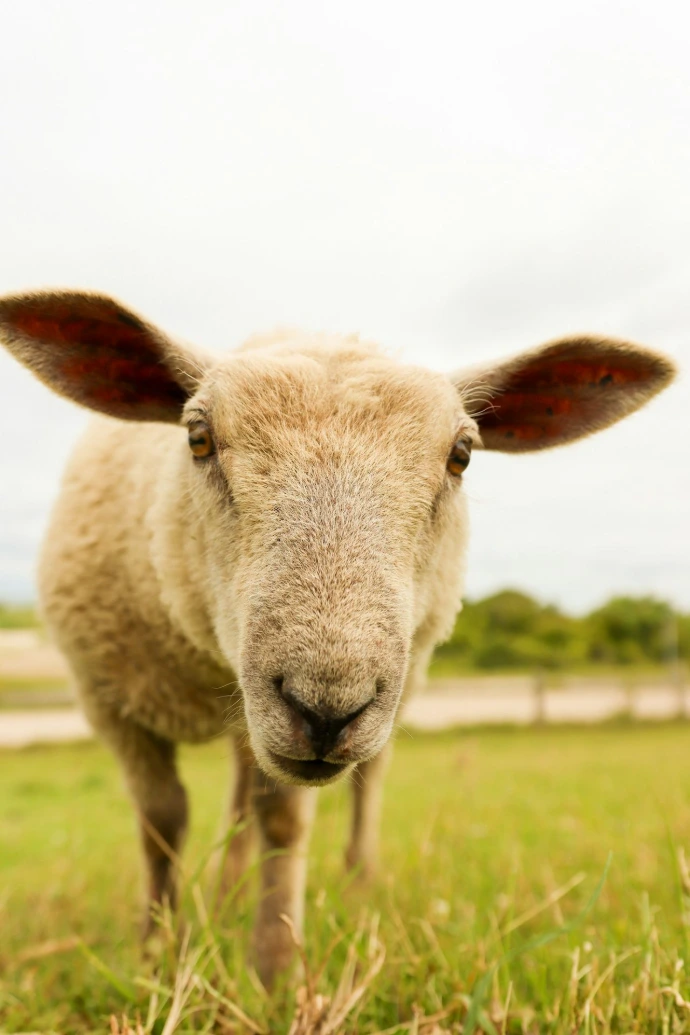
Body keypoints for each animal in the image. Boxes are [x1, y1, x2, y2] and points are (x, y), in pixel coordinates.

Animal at [0, 289, 675, 986]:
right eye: (197, 437)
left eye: (461, 455)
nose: (327, 708)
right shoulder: (107, 699)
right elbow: (162, 820)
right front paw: (158, 955)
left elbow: (283, 818)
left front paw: (274, 969)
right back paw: (228, 899)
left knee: (363, 782)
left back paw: (355, 888)